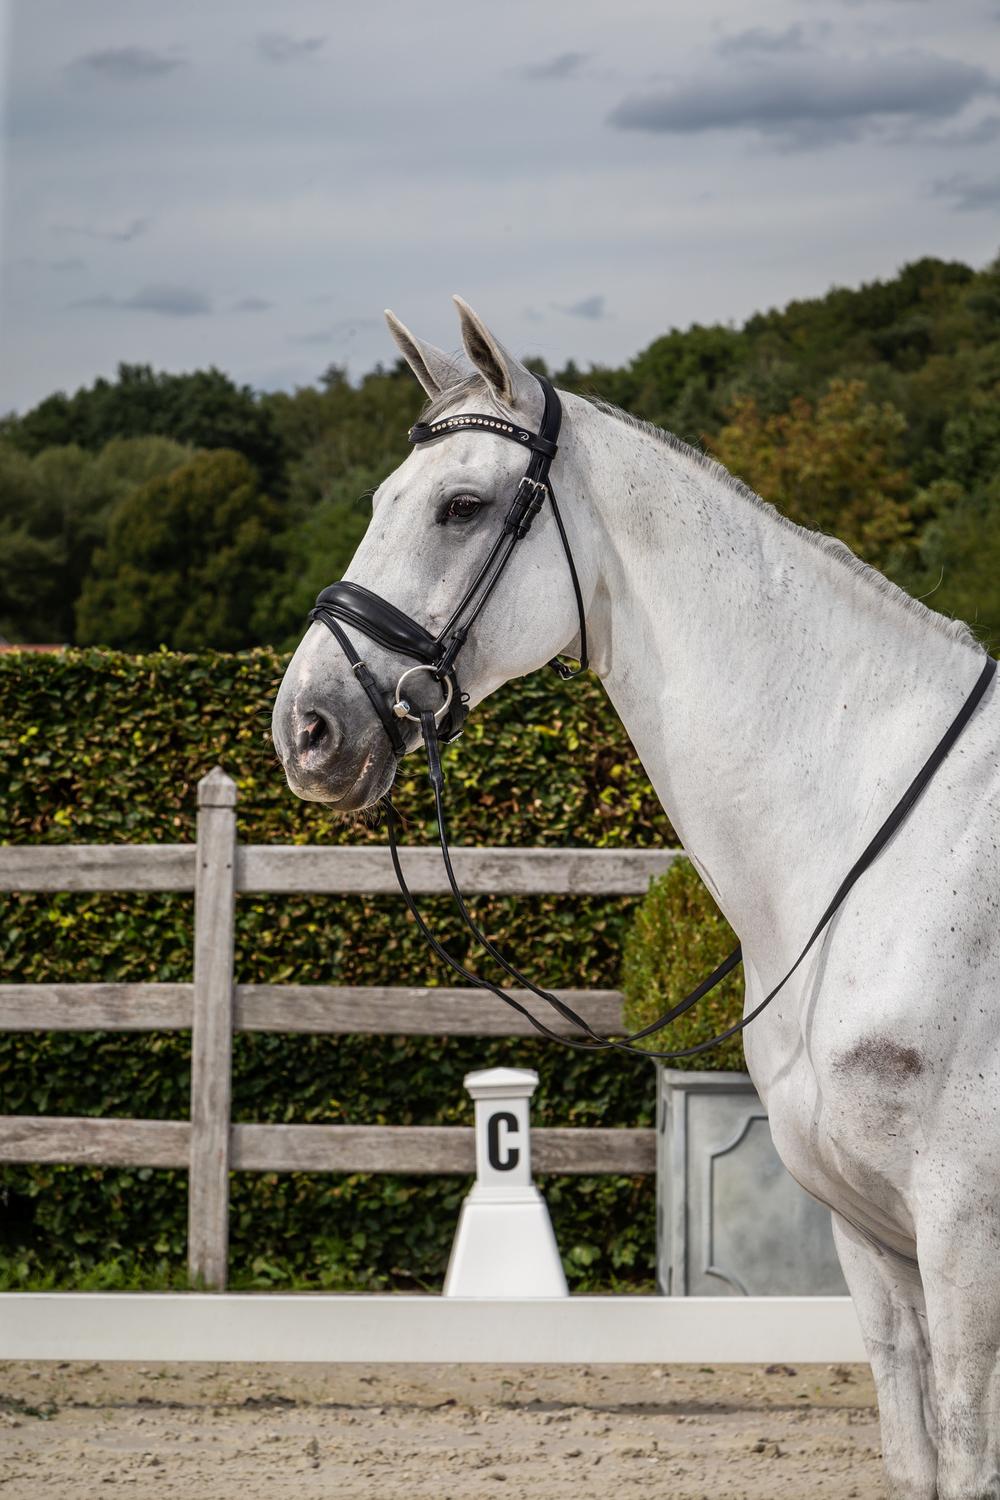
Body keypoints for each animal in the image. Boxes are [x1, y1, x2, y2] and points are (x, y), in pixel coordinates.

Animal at [274, 295, 1000, 1500]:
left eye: (461, 506)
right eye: (379, 500)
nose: (309, 729)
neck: (880, 843)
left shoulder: (963, 1232)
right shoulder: (876, 1240)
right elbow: (918, 1457)